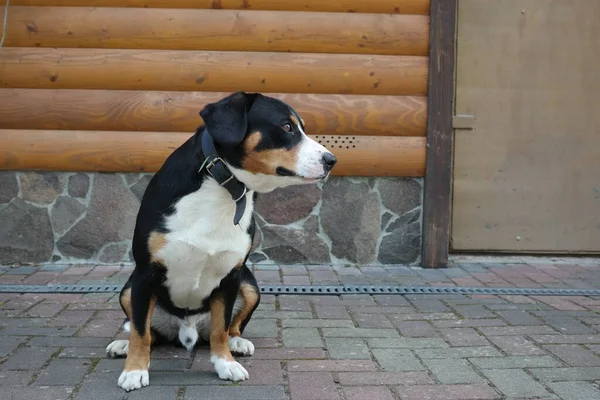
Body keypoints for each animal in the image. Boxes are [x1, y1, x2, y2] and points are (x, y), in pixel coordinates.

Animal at [105, 91, 336, 390]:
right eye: (286, 127)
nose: (331, 160)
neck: (221, 190)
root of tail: (185, 332)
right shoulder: (145, 274)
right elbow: (140, 331)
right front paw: (134, 371)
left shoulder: (231, 277)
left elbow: (220, 328)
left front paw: (226, 364)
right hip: (128, 288)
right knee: (145, 329)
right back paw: (122, 345)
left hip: (250, 285)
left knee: (231, 327)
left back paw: (238, 342)